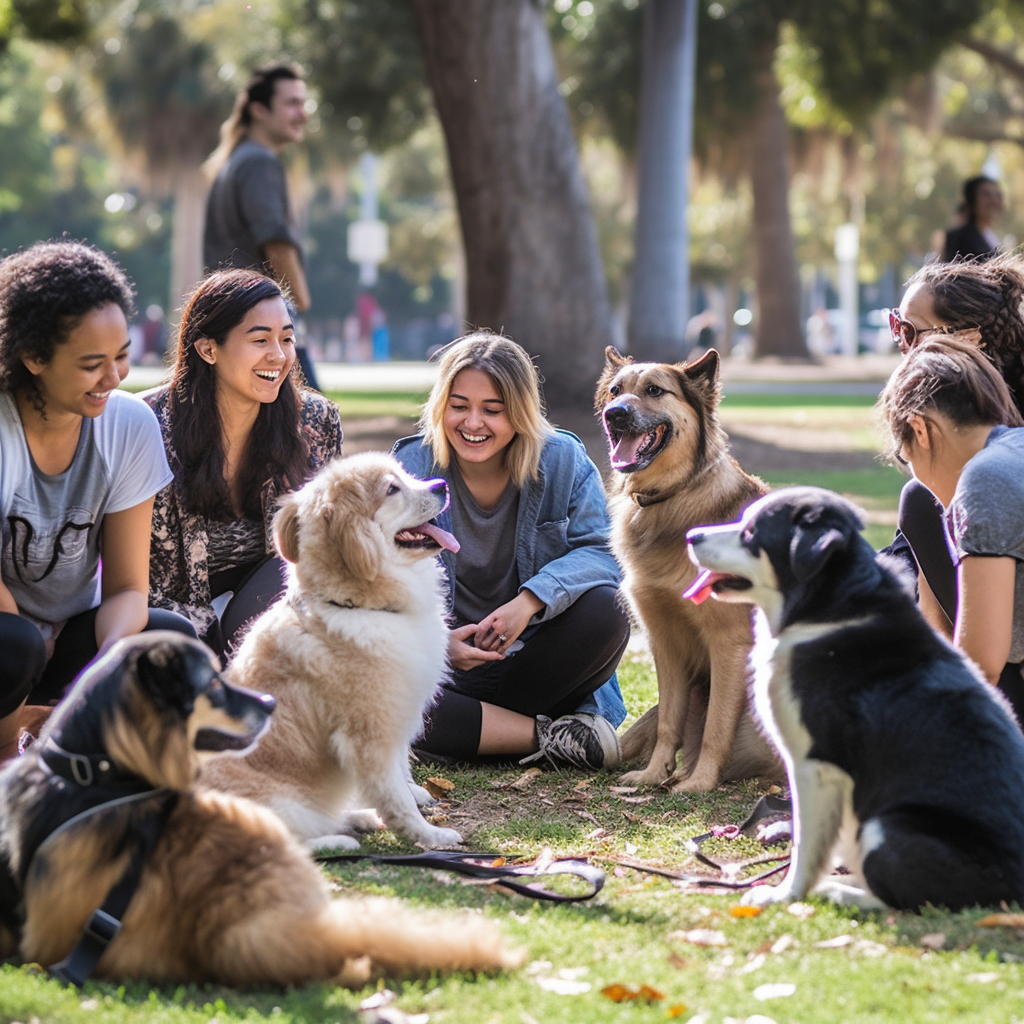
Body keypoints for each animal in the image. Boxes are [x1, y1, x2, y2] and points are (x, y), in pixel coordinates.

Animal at [200, 452, 464, 851]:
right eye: (392, 489)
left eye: (403, 475)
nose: (442, 485)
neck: (359, 604)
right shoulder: (369, 733)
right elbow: (395, 797)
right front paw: (429, 835)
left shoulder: (398, 716)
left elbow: (401, 772)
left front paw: (415, 793)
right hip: (274, 805)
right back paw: (339, 841)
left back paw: (360, 818)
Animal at [598, 346, 778, 790]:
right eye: (615, 391)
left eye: (654, 390)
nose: (615, 414)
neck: (673, 496)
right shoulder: (665, 641)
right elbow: (669, 719)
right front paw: (653, 774)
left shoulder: (729, 644)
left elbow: (716, 724)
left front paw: (699, 783)